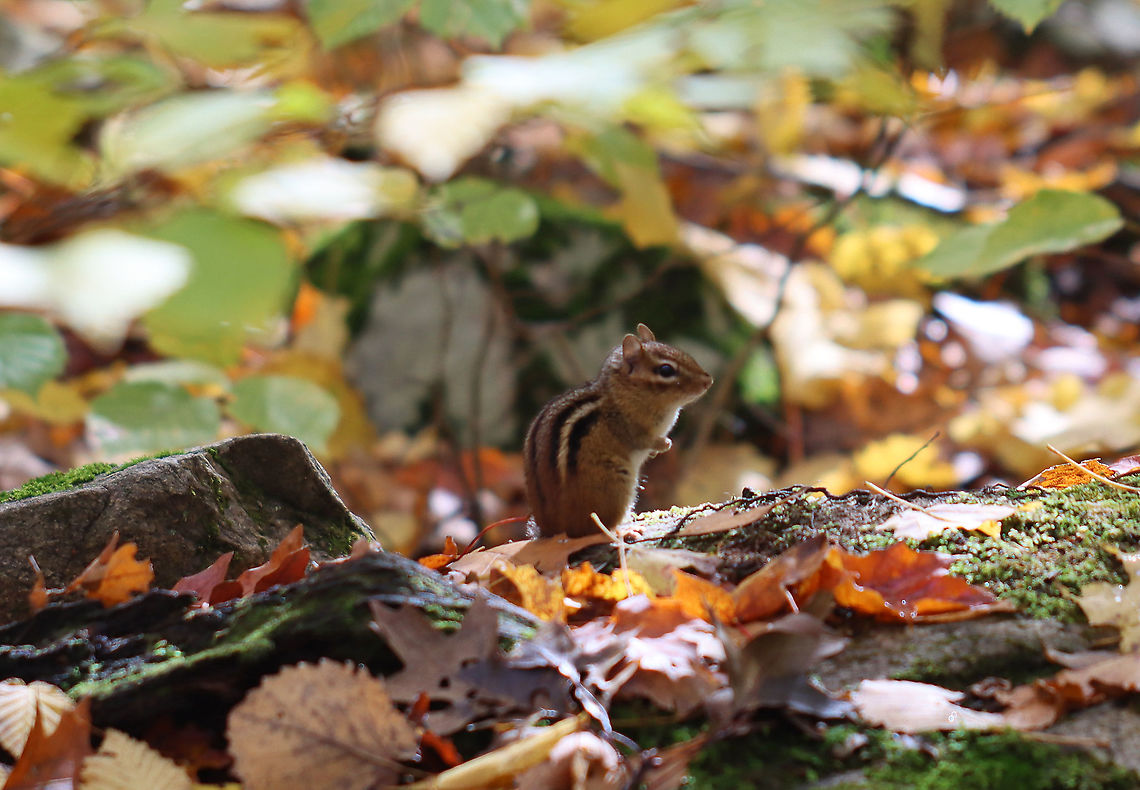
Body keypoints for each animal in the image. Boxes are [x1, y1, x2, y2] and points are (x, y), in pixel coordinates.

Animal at [523, 324, 713, 537]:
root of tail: (554, 528)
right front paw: (664, 444)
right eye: (666, 370)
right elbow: (643, 440)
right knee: (598, 528)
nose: (708, 380)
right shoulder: (629, 428)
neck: (624, 392)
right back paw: (625, 529)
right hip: (615, 487)